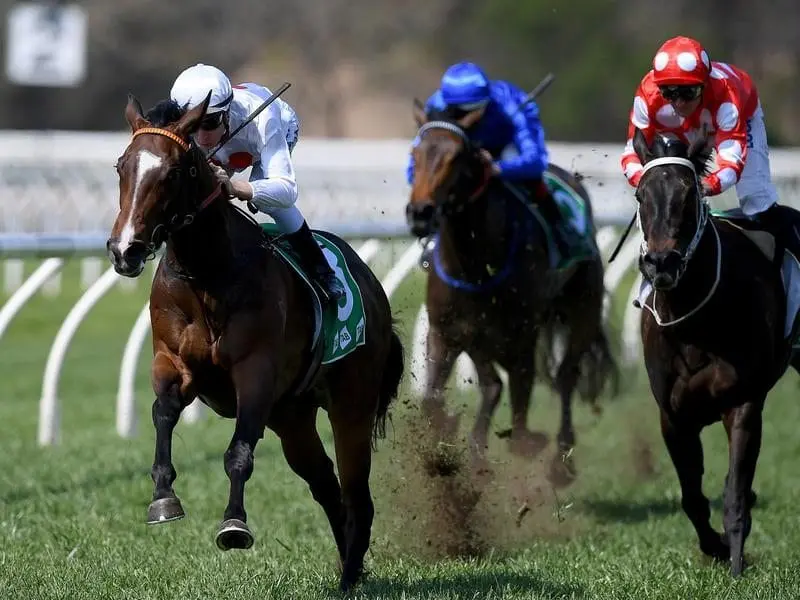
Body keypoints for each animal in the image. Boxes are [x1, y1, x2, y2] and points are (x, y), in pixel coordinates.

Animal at [105, 94, 404, 592]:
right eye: (122, 166)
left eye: (172, 172)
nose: (125, 249)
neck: (208, 273)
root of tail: (371, 284)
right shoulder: (172, 362)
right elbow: (162, 413)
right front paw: (163, 496)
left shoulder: (256, 373)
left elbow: (239, 453)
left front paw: (234, 524)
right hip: (293, 417)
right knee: (326, 486)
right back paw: (348, 565)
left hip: (351, 404)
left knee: (356, 492)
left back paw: (350, 577)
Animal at [406, 101, 620, 480]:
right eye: (415, 153)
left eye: (456, 156)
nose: (420, 212)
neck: (475, 262)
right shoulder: (447, 330)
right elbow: (436, 398)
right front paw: (448, 448)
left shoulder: (521, 335)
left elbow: (520, 412)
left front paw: (522, 446)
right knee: (498, 384)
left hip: (583, 306)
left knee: (565, 375)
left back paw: (561, 459)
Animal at [632, 129, 800, 576]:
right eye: (640, 194)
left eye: (690, 194)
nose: (661, 263)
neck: (695, 322)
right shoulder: (672, 417)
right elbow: (692, 498)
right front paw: (717, 548)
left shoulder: (742, 405)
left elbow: (735, 495)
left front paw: (736, 562)